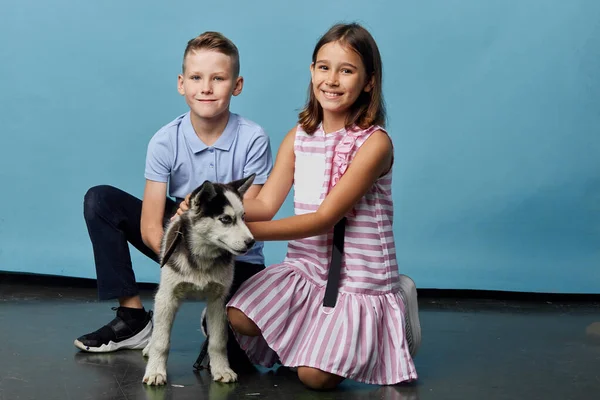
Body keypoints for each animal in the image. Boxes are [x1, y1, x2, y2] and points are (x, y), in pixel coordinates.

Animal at [142, 174, 255, 384]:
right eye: (226, 219)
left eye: (243, 217)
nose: (251, 242)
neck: (203, 256)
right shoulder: (166, 297)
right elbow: (161, 340)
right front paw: (155, 371)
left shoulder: (218, 300)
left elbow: (218, 340)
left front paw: (221, 369)